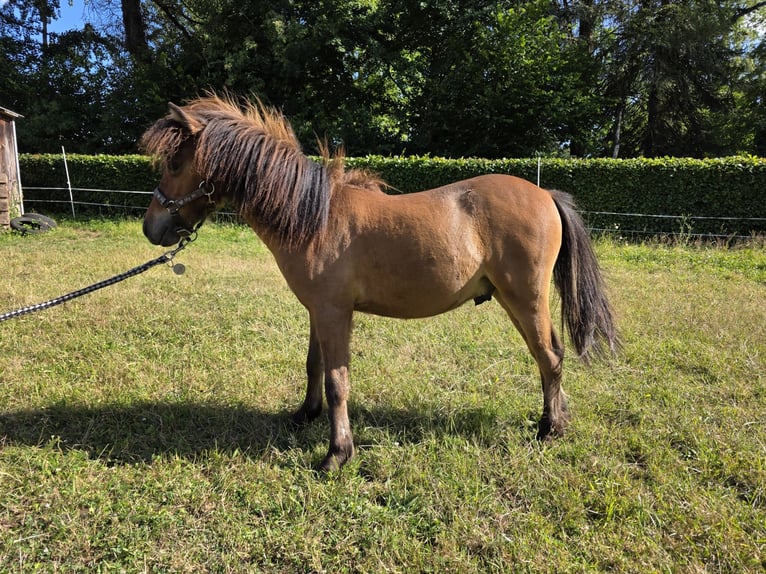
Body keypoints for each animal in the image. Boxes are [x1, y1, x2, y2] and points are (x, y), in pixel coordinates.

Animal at [141, 95, 617, 471]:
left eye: (175, 163)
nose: (151, 228)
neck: (314, 217)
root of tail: (545, 195)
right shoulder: (319, 311)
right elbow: (314, 366)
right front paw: (304, 415)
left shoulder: (335, 313)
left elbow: (338, 381)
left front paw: (337, 454)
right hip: (514, 299)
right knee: (550, 355)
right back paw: (556, 419)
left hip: (525, 298)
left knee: (549, 356)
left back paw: (548, 430)